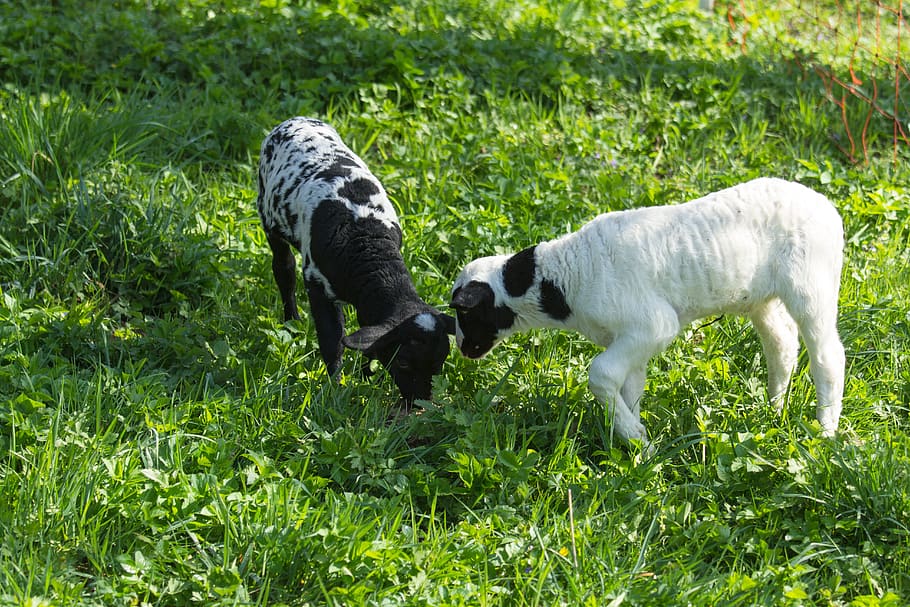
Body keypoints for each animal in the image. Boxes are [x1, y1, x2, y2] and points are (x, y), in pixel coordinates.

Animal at [256, 117, 455, 405]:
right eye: (403, 363)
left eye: (440, 363)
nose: (420, 402)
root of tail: (296, 120)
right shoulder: (317, 285)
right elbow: (332, 340)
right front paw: (335, 388)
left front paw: (366, 374)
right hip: (269, 217)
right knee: (284, 271)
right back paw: (291, 320)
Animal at [450, 177, 845, 448]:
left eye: (466, 314)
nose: (463, 349)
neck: (564, 279)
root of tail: (826, 206)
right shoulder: (630, 337)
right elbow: (629, 386)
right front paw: (635, 443)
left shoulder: (654, 325)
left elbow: (601, 374)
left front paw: (636, 439)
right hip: (760, 298)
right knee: (782, 344)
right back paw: (772, 409)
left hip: (811, 283)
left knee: (828, 355)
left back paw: (825, 430)